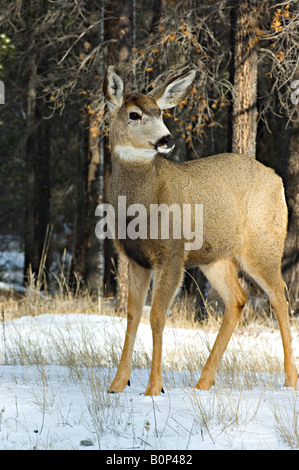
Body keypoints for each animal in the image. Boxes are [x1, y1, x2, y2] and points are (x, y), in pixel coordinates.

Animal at [102, 67, 298, 396]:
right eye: (134, 114)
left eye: (161, 112)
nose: (167, 138)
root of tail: (277, 179)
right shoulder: (135, 258)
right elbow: (131, 315)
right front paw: (117, 384)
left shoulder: (172, 253)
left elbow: (157, 315)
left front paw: (154, 388)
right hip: (214, 257)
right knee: (238, 298)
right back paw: (204, 380)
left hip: (263, 243)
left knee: (279, 295)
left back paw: (289, 379)